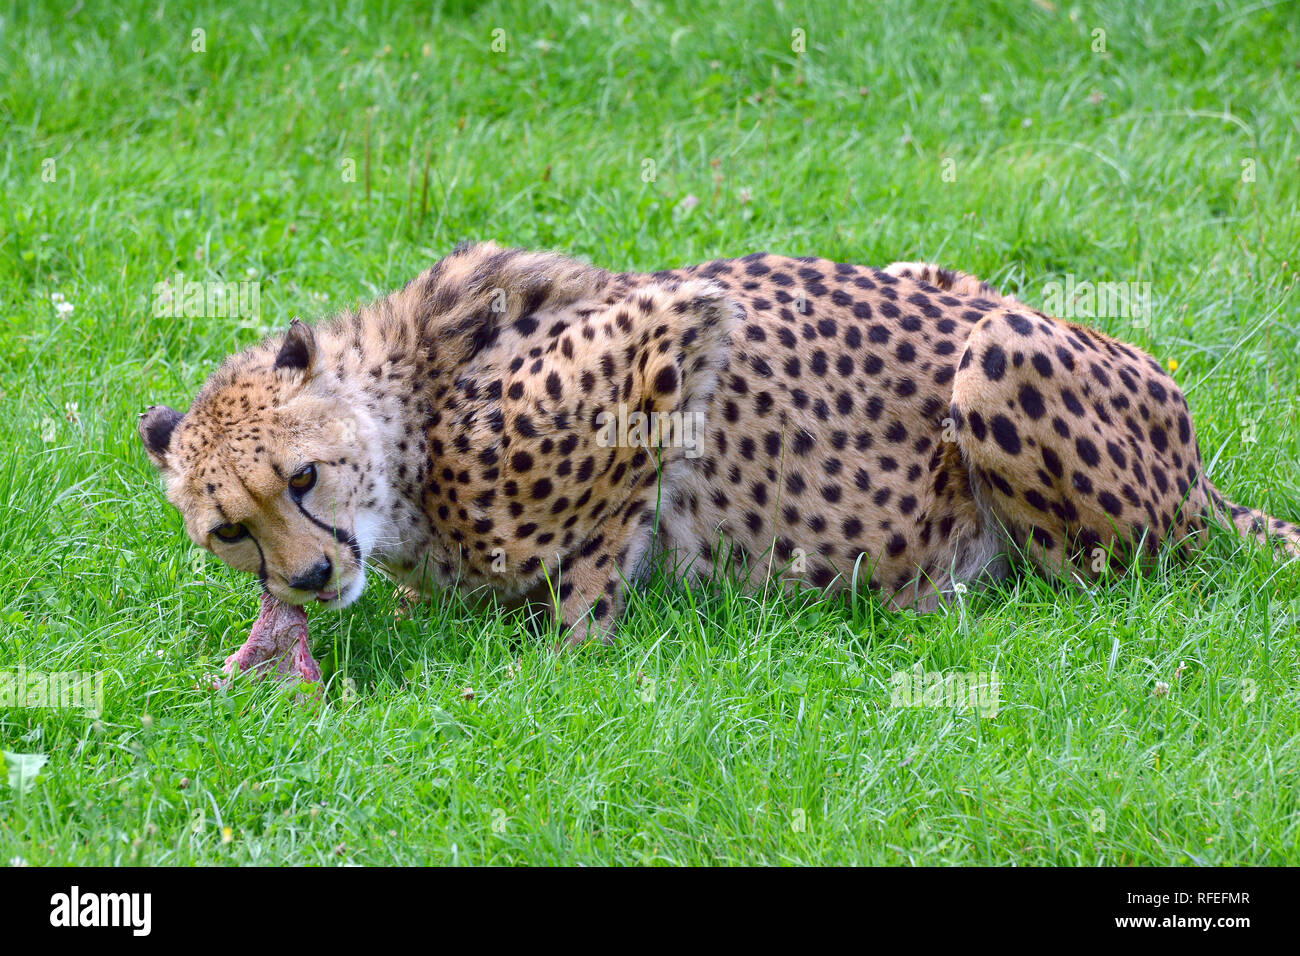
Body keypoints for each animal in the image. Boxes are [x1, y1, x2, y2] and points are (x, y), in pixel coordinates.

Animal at [139, 241, 1300, 647]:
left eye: (304, 475)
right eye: (229, 529)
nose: (312, 575)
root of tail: (1201, 473)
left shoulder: (667, 332)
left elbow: (596, 560)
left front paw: (565, 658)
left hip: (999, 355)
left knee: (1110, 574)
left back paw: (934, 593)